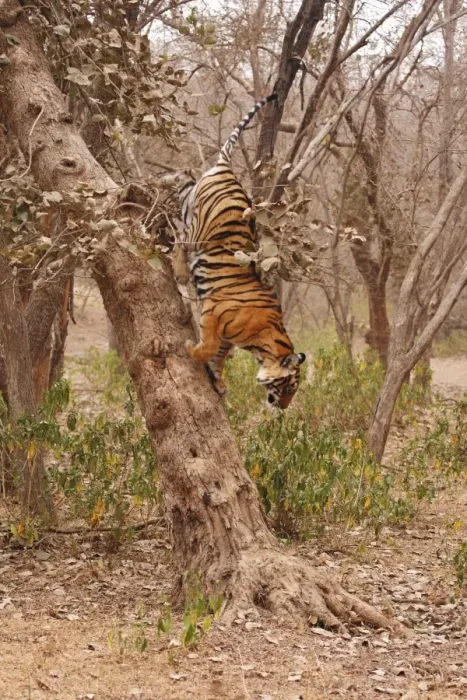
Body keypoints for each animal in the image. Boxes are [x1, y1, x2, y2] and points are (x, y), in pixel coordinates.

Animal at [168, 94, 306, 408]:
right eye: (289, 385)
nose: (282, 406)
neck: (263, 344)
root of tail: (228, 170)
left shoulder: (228, 339)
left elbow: (219, 357)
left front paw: (218, 384)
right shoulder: (213, 313)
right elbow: (208, 347)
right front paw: (190, 349)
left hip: (189, 202)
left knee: (181, 184)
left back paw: (168, 179)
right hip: (198, 233)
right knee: (180, 240)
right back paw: (181, 273)